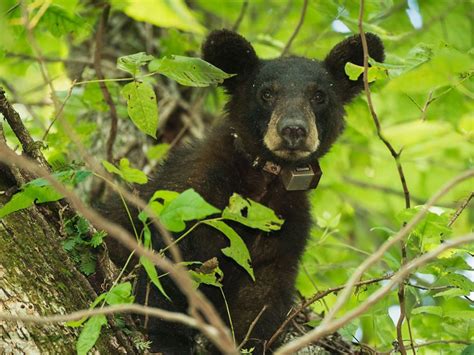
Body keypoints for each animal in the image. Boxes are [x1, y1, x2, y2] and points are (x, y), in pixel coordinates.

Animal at [103, 29, 382, 354]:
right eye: (266, 93)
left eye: (319, 96)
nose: (293, 130)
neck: (264, 184)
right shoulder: (193, 193)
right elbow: (169, 264)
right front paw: (166, 338)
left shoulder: (284, 231)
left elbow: (260, 298)